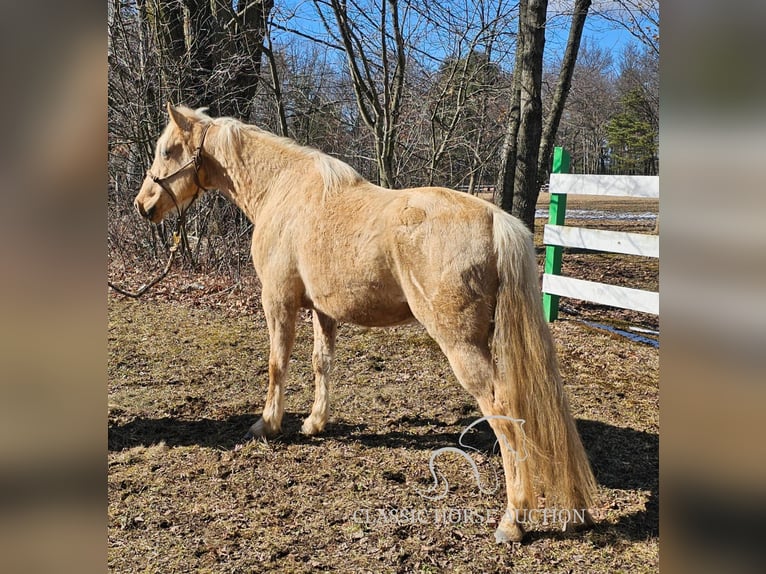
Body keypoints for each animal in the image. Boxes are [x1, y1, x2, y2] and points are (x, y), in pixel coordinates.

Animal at [135, 104, 596, 544]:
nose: (143, 205)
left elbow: (277, 364)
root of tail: (494, 219)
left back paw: (513, 519)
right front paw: (314, 423)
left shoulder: (278, 301)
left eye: (167, 150)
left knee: (503, 412)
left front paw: (266, 424)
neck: (282, 192)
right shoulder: (323, 311)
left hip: (462, 345)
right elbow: (321, 363)